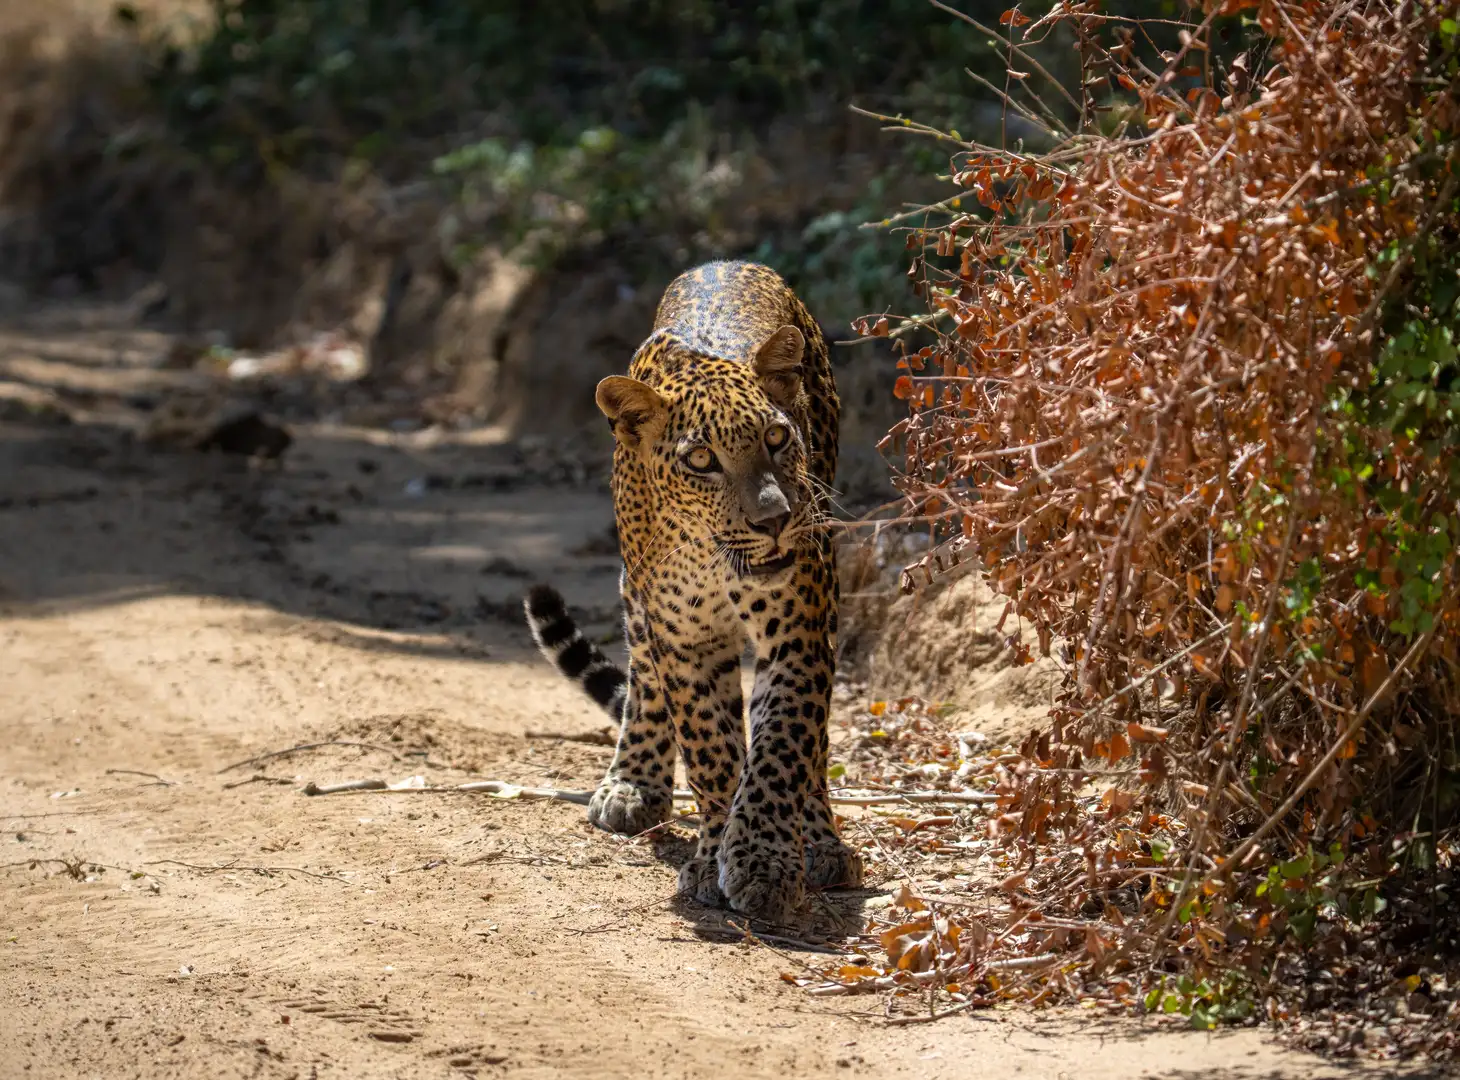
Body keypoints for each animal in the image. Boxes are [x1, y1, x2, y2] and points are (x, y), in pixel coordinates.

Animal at [524, 259, 864, 923]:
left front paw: (762, 859)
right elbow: (711, 751)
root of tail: (728, 261)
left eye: (778, 439)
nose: (775, 519)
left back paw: (821, 840)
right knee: (644, 678)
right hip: (637, 599)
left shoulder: (800, 630)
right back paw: (632, 783)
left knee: (810, 741)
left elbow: (782, 745)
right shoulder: (686, 644)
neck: (712, 559)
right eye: (702, 460)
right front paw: (716, 857)